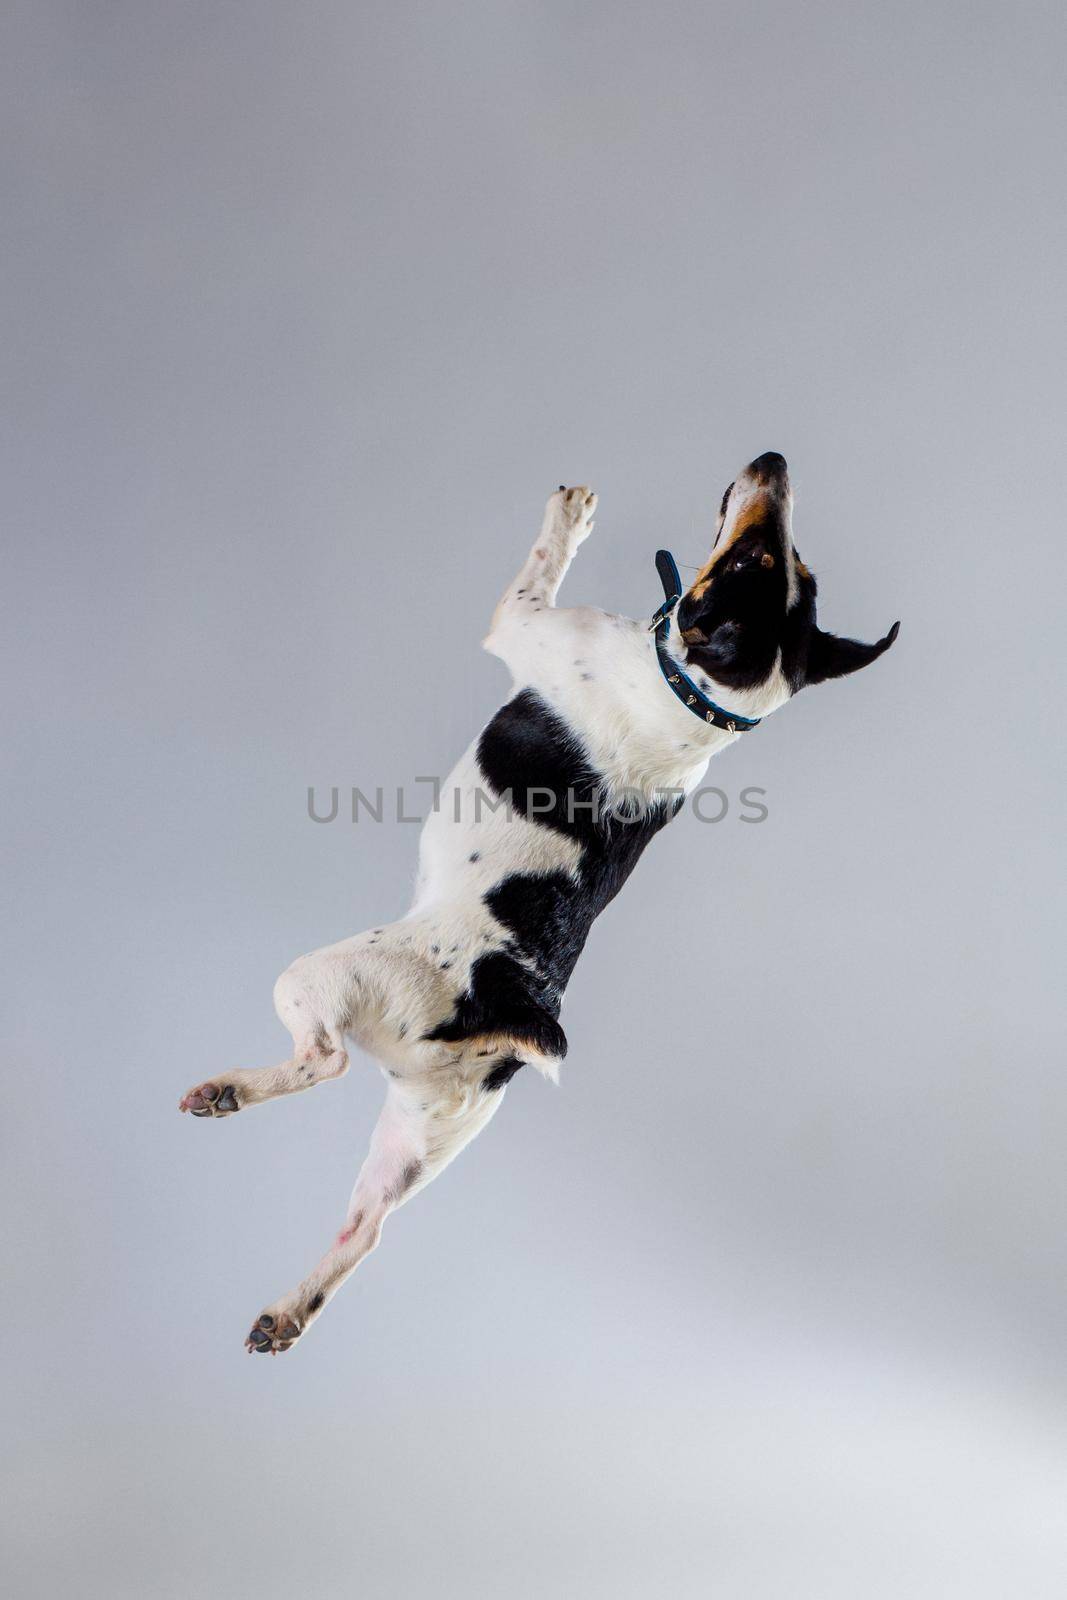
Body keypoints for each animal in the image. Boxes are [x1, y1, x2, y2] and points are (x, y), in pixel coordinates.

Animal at [179, 457, 895, 1356]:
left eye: (752, 564)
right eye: (788, 565)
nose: (773, 463)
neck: (698, 696)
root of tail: (512, 1005)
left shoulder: (520, 621)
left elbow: (539, 563)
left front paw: (570, 516)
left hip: (321, 978)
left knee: (324, 1061)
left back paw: (230, 1091)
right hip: (425, 1133)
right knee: (367, 1229)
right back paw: (286, 1309)